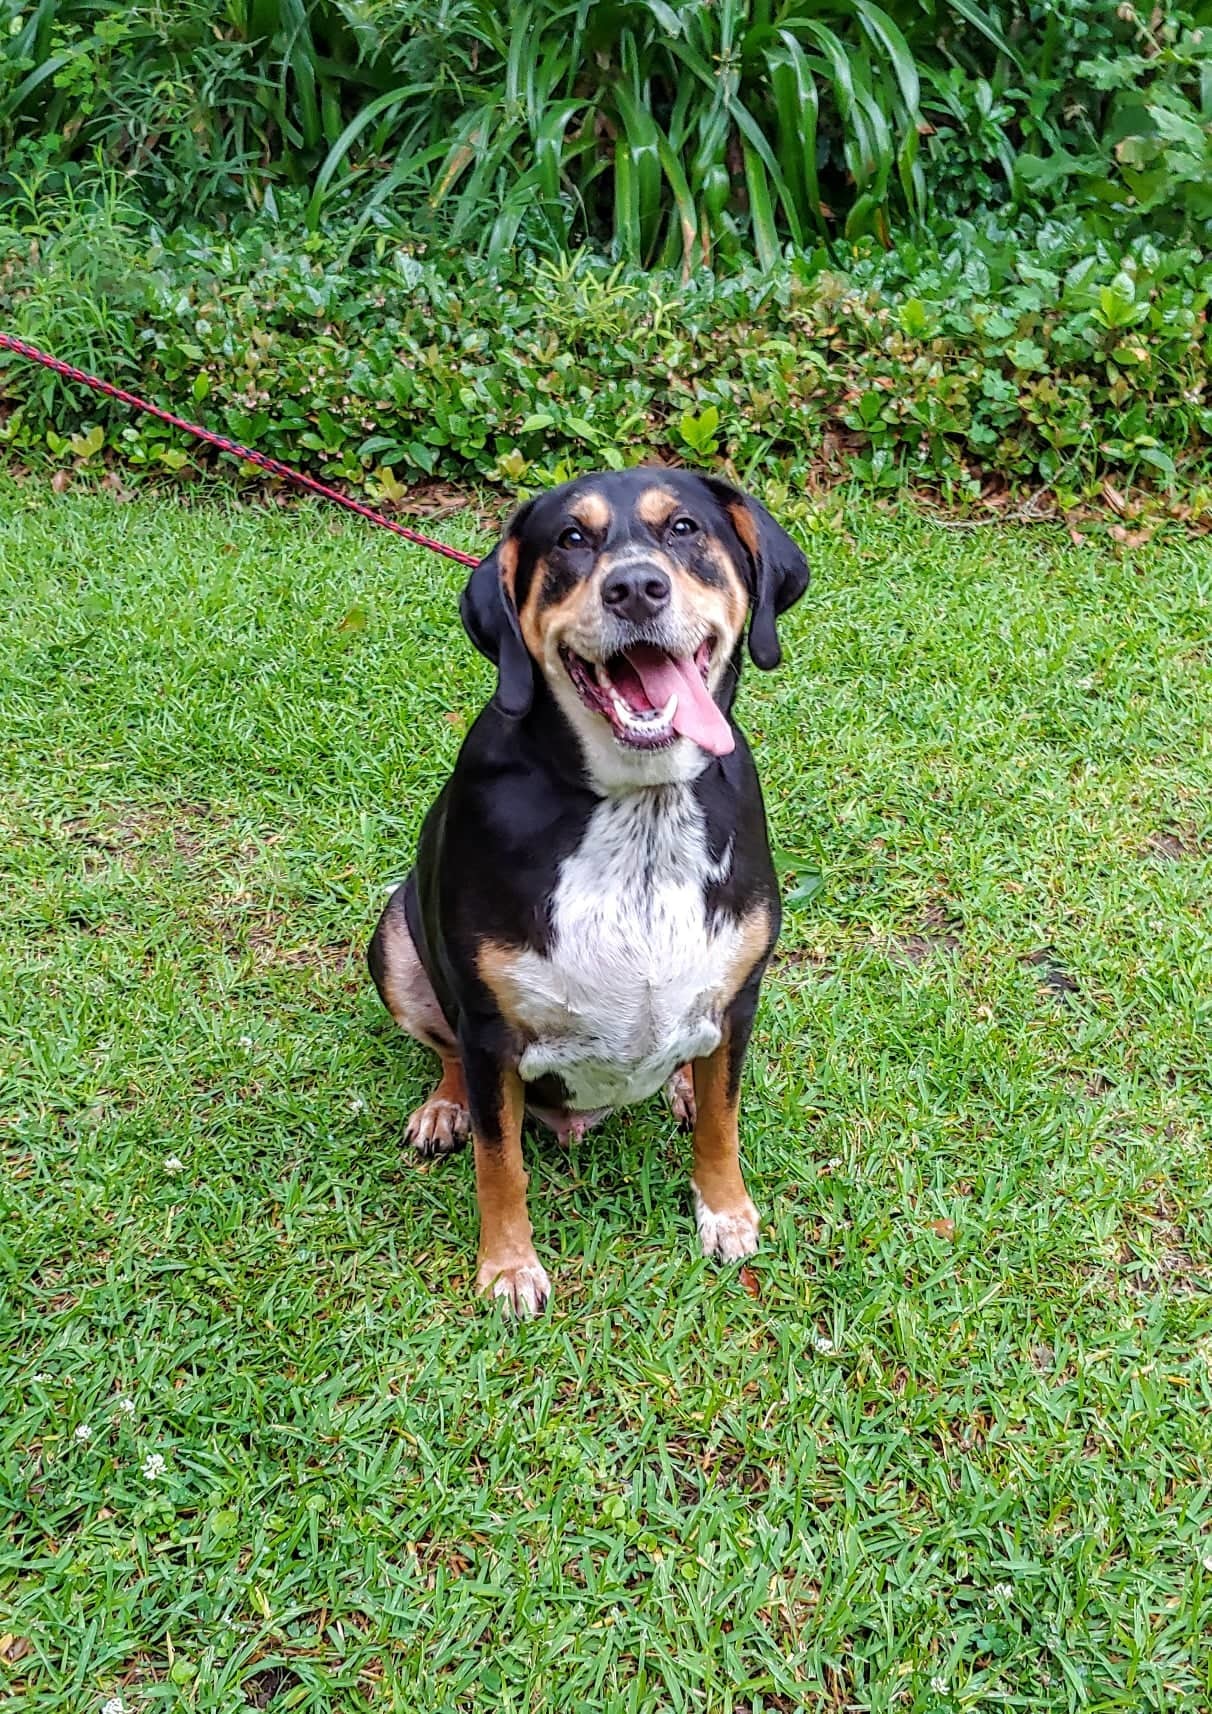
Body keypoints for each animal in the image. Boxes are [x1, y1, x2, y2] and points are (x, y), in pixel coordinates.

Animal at [365, 466, 809, 1309]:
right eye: (572, 538)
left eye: (684, 529)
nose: (635, 588)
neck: (640, 807)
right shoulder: (490, 1029)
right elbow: (499, 1161)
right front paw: (508, 1267)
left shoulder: (739, 996)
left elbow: (723, 1119)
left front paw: (725, 1210)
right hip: (395, 937)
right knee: (443, 1049)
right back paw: (445, 1108)